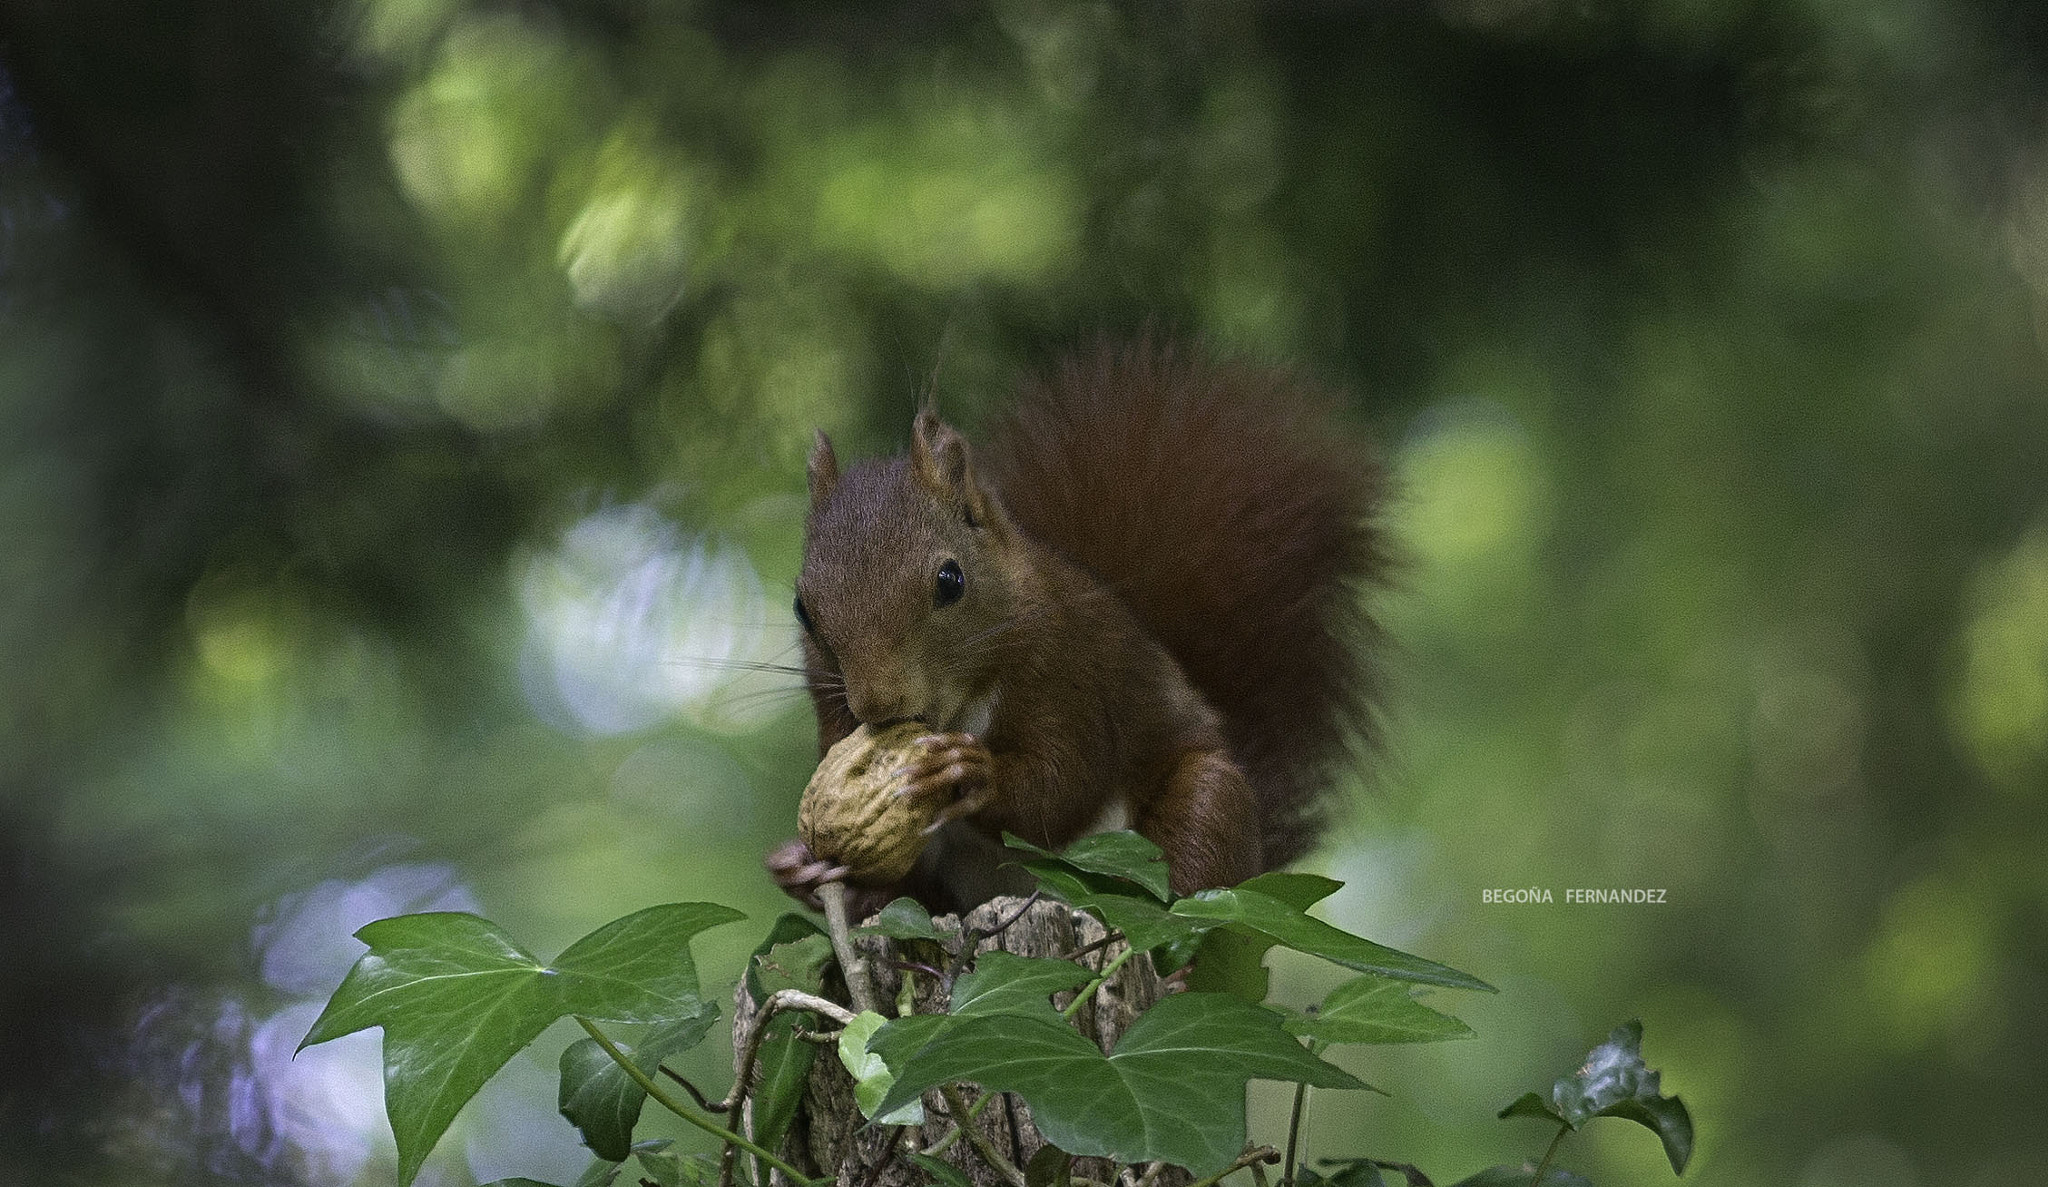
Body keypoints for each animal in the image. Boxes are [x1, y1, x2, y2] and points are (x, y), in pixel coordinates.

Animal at [766, 337, 1389, 915]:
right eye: (801, 608)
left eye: (950, 580)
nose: (877, 706)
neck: (963, 702)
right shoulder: (831, 710)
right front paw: (798, 862)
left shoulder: (1072, 672)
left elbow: (1063, 789)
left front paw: (969, 773)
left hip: (1209, 804)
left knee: (1194, 861)